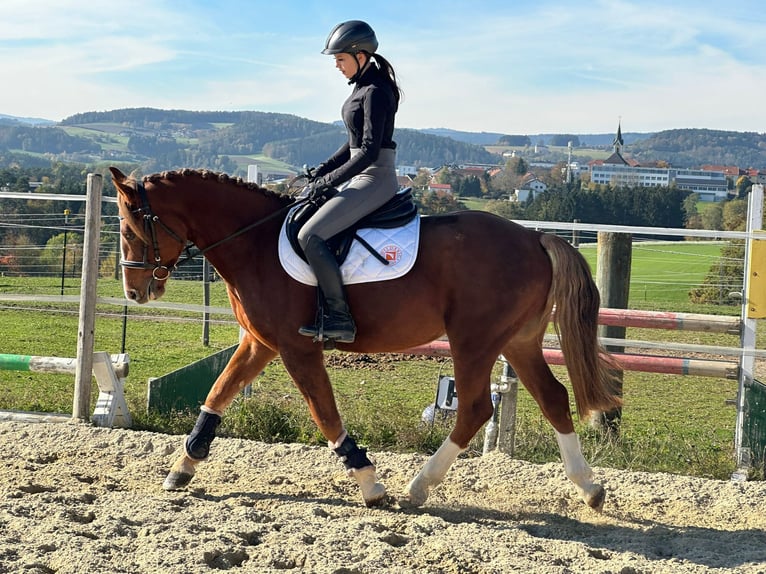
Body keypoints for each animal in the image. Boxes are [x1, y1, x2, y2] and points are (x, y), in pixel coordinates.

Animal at [108, 166, 624, 512]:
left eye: (130, 228)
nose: (134, 291)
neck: (254, 243)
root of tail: (536, 239)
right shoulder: (260, 343)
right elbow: (219, 393)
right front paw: (183, 466)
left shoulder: (296, 348)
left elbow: (324, 412)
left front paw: (369, 483)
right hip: (516, 341)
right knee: (553, 398)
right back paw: (590, 488)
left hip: (474, 341)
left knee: (476, 409)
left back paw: (419, 486)